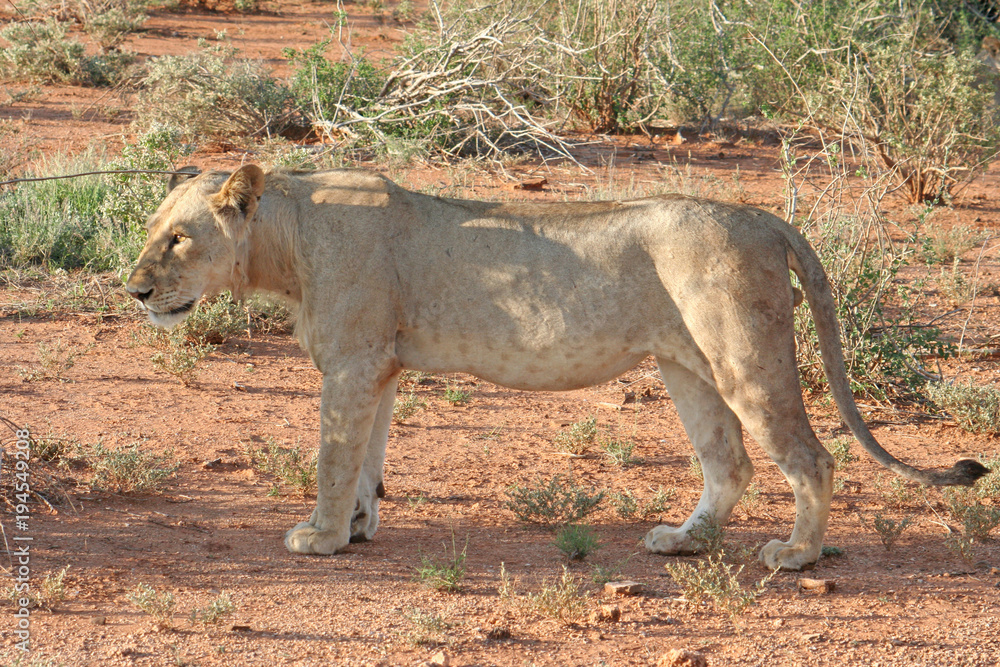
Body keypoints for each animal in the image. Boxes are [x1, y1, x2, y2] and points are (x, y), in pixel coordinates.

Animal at [125, 164, 988, 570]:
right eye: (151, 229)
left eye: (179, 238)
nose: (134, 288)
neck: (288, 236)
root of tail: (760, 215)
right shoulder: (380, 367)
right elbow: (368, 454)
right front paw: (362, 527)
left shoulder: (352, 361)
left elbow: (334, 457)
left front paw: (322, 536)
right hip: (687, 365)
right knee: (730, 461)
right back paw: (683, 539)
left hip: (745, 353)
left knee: (810, 455)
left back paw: (797, 553)